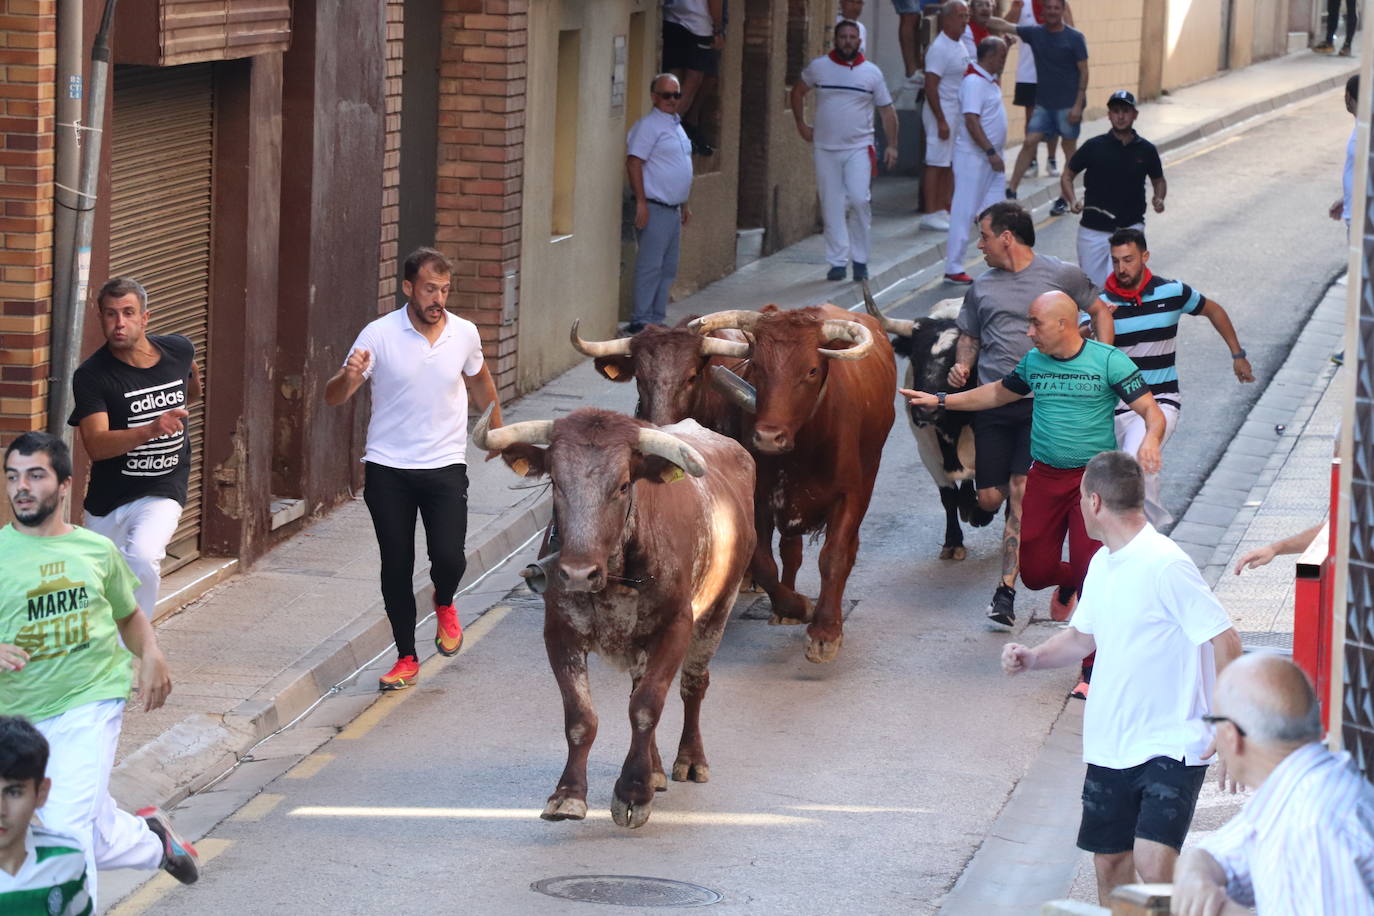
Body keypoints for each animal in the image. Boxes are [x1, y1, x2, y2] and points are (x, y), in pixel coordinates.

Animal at [469, 409, 752, 829]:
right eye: (555, 481)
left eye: (622, 486)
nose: (576, 574)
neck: (615, 572)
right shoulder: (560, 633)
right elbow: (582, 717)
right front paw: (568, 795)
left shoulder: (675, 628)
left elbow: (647, 707)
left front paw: (633, 792)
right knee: (640, 687)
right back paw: (654, 769)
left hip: (718, 610)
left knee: (692, 685)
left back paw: (689, 760)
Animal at [687, 304, 901, 661]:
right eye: (758, 366)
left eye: (812, 370)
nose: (768, 437)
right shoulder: (761, 498)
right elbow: (763, 562)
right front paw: (797, 606)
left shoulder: (850, 496)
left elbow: (834, 557)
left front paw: (826, 631)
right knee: (790, 549)